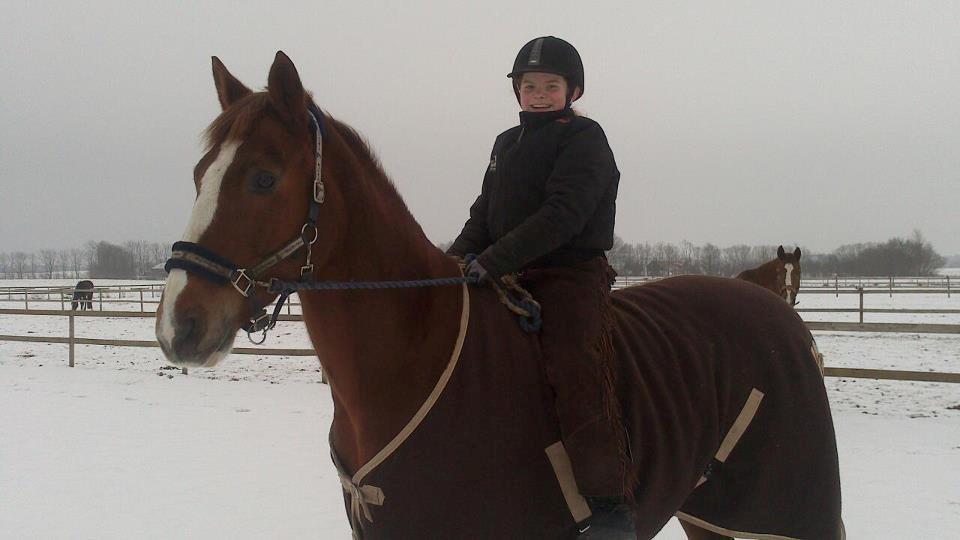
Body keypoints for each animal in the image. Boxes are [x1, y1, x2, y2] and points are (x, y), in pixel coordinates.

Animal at [158, 51, 840, 540]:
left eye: (263, 178)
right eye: (198, 176)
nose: (178, 327)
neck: (415, 357)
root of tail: (780, 318)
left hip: (776, 513)